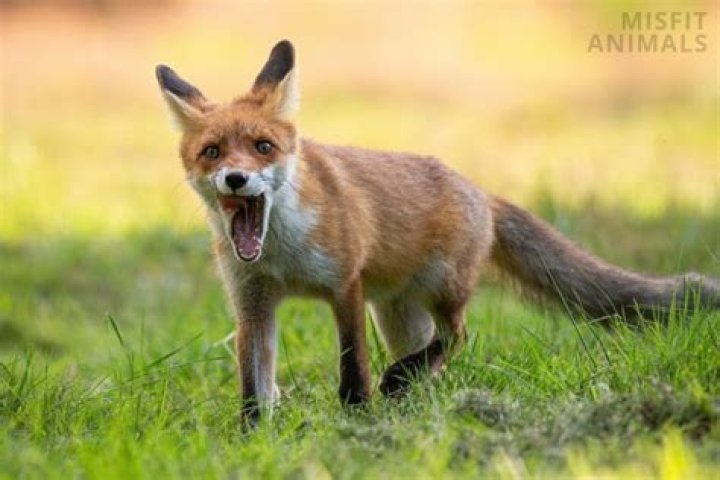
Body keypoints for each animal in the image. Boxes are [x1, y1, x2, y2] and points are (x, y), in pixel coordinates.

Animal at [156, 40, 720, 424]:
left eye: (263, 147)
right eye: (212, 152)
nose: (235, 178)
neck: (280, 252)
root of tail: (481, 192)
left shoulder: (345, 285)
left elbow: (352, 366)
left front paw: (356, 418)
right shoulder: (253, 303)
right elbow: (255, 387)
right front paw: (253, 436)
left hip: (441, 288)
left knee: (457, 336)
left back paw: (401, 384)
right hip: (396, 313)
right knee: (434, 355)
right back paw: (415, 395)